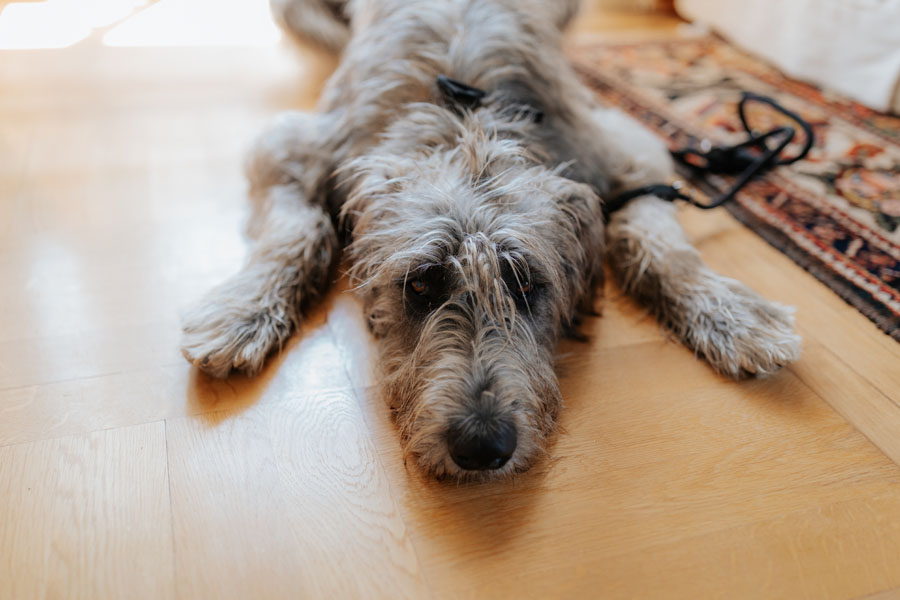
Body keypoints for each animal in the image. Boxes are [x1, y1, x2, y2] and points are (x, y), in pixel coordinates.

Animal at [179, 0, 800, 478]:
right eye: (420, 286)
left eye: (526, 285)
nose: (482, 445)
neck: (467, 120)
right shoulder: (297, 146)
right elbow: (299, 229)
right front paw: (245, 308)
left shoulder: (621, 146)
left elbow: (655, 235)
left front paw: (728, 311)